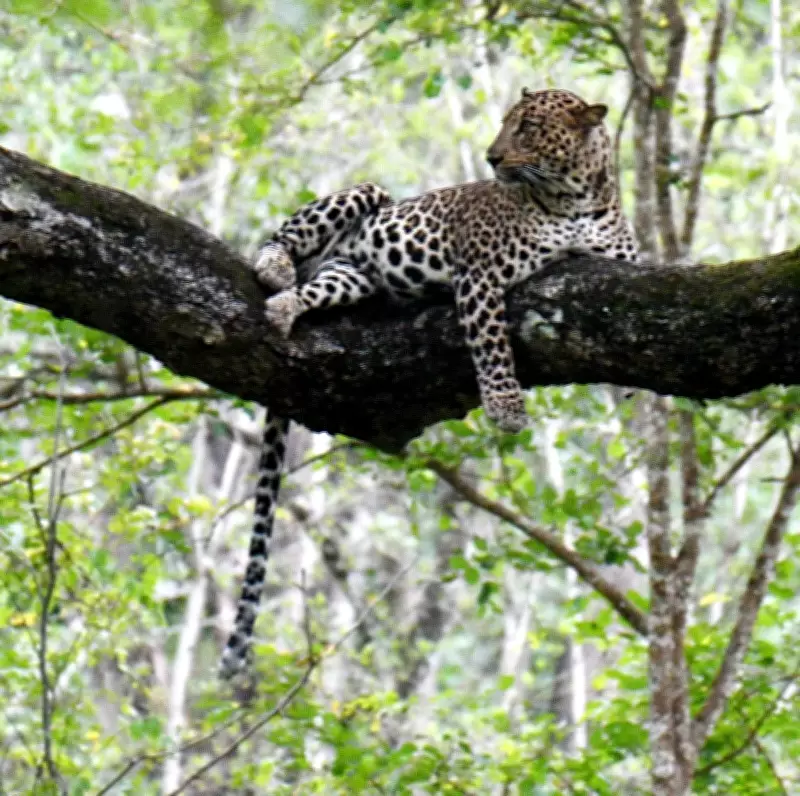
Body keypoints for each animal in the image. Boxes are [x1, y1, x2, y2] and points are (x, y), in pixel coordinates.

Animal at [219, 88, 638, 677]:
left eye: (529, 127)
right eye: (507, 123)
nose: (491, 157)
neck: (576, 198)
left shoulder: (624, 266)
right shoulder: (480, 274)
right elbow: (492, 346)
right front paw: (506, 409)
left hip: (351, 277)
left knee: (310, 291)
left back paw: (284, 308)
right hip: (365, 194)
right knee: (281, 237)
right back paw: (275, 269)